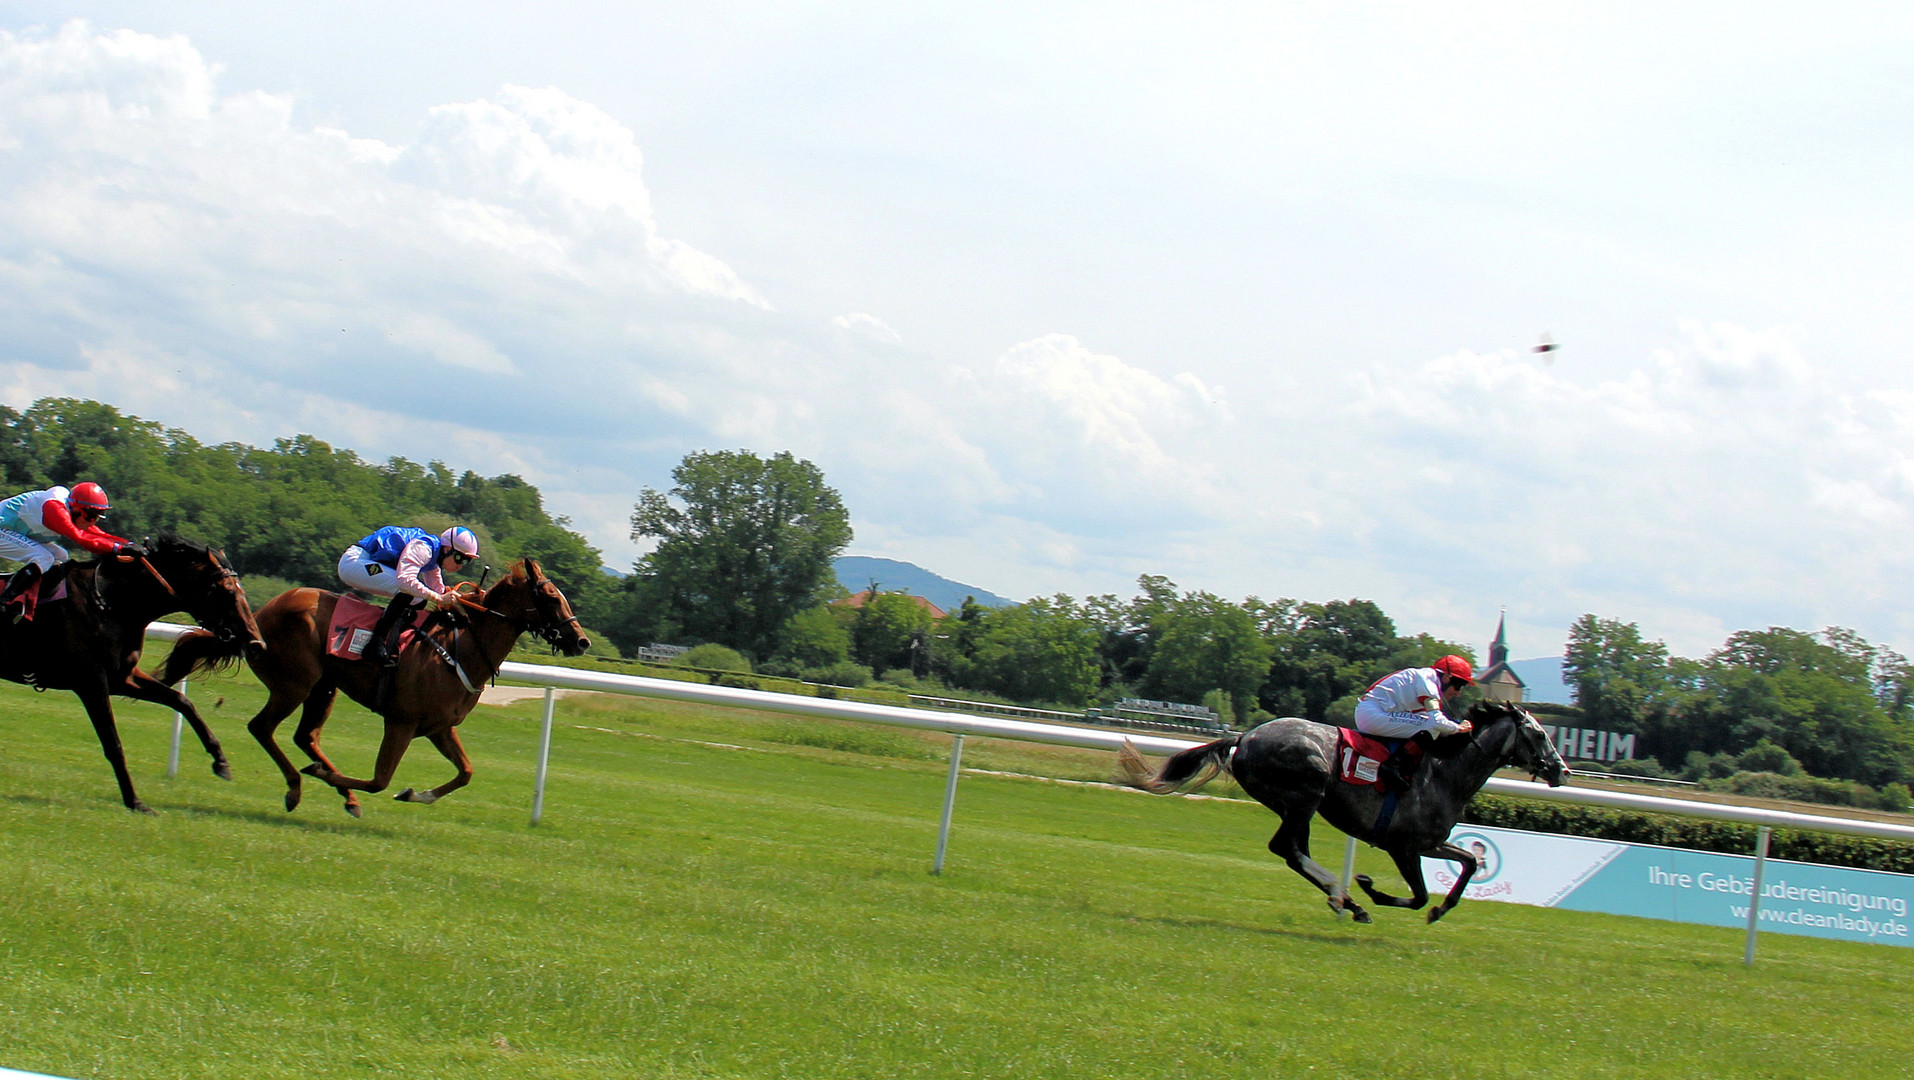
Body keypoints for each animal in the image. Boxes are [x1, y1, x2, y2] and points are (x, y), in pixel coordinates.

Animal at [0, 536, 266, 815]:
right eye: (227, 592)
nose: (256, 643)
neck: (111, 603)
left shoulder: (121, 678)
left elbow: (181, 701)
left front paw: (220, 760)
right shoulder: (91, 682)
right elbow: (113, 743)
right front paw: (135, 801)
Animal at [161, 562, 585, 815]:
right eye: (551, 598)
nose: (581, 641)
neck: (458, 649)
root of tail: (259, 616)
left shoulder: (439, 727)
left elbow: (465, 771)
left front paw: (416, 794)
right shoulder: (401, 722)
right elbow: (380, 781)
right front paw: (333, 778)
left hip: (323, 688)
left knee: (305, 735)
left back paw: (338, 791)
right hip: (294, 683)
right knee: (262, 728)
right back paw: (297, 786)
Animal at [1117, 704, 1569, 922]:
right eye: (1540, 734)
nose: (1561, 770)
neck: (1444, 773)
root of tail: (1245, 737)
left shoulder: (1430, 842)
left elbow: (1470, 862)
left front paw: (1441, 909)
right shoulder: (1402, 846)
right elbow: (1420, 894)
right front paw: (1372, 887)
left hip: (1296, 806)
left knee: (1293, 852)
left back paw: (1345, 901)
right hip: (1306, 793)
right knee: (1286, 848)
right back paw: (1347, 896)